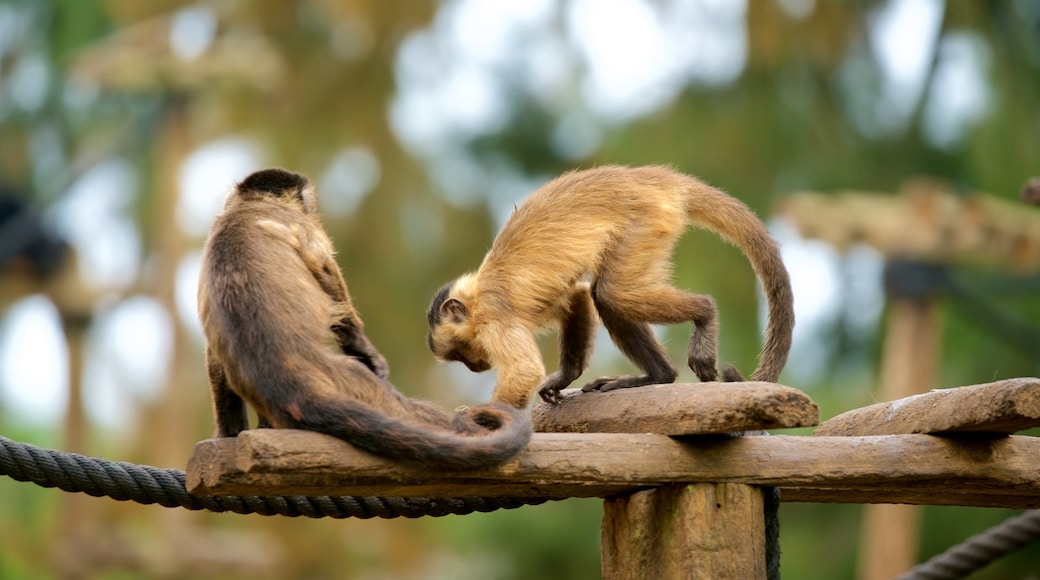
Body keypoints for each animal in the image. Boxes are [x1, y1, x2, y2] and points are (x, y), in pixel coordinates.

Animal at [198, 168, 532, 473]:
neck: (247, 206)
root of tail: (287, 382)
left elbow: (213, 358)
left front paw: (227, 434)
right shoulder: (302, 225)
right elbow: (324, 268)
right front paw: (364, 349)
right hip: (352, 381)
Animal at [426, 164, 790, 409]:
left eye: (462, 352)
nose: (475, 367)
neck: (477, 293)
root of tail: (650, 177)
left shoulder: (493, 317)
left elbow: (524, 372)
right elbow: (577, 298)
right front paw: (565, 376)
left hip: (645, 221)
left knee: (612, 293)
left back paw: (704, 313)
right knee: (604, 296)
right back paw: (658, 376)